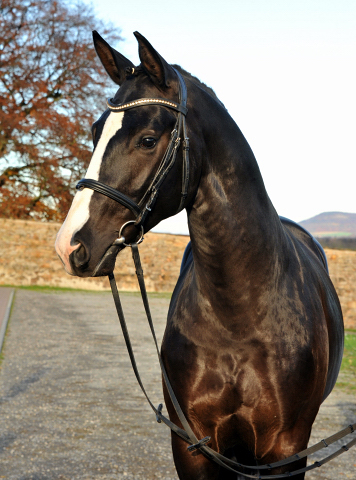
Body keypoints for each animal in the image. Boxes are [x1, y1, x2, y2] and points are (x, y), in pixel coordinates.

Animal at [55, 31, 344, 478]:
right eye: (94, 131)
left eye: (148, 139)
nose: (70, 244)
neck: (240, 316)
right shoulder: (193, 445)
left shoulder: (285, 450)